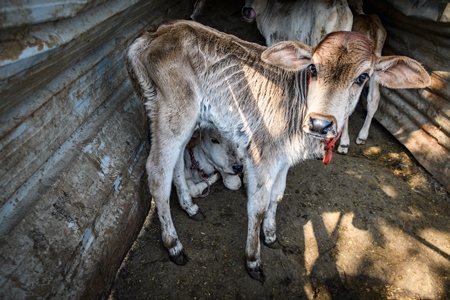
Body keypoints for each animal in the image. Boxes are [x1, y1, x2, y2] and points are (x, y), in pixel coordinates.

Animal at [125, 19, 428, 282]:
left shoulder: (283, 159)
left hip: (180, 120)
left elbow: (277, 195)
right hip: (173, 114)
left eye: (363, 77)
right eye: (313, 69)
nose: (321, 123)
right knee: (157, 173)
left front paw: (270, 235)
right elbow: (257, 206)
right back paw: (174, 245)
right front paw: (253, 259)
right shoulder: (262, 157)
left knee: (175, 164)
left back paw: (190, 207)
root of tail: (151, 34)